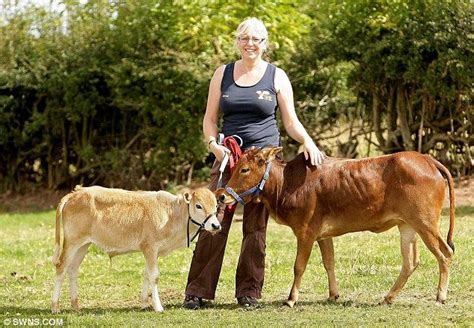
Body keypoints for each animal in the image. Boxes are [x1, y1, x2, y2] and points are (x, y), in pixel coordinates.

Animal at [51, 186, 221, 314]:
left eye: (216, 206)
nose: (216, 225)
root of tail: (76, 193)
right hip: (72, 242)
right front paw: (158, 307)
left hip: (83, 245)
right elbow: (154, 276)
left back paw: (75, 306)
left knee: (72, 270)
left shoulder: (152, 252)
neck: (171, 214)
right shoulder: (150, 247)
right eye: (198, 205)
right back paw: (55, 307)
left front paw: (145, 304)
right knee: (61, 267)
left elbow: (146, 274)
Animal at [217, 147, 454, 306]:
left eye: (244, 169)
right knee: (410, 262)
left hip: (425, 223)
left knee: (445, 253)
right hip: (407, 226)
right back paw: (388, 297)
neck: (286, 183)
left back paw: (440, 295)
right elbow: (329, 262)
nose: (221, 195)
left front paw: (291, 299)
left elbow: (299, 266)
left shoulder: (305, 233)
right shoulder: (323, 235)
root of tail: (427, 159)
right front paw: (333, 294)